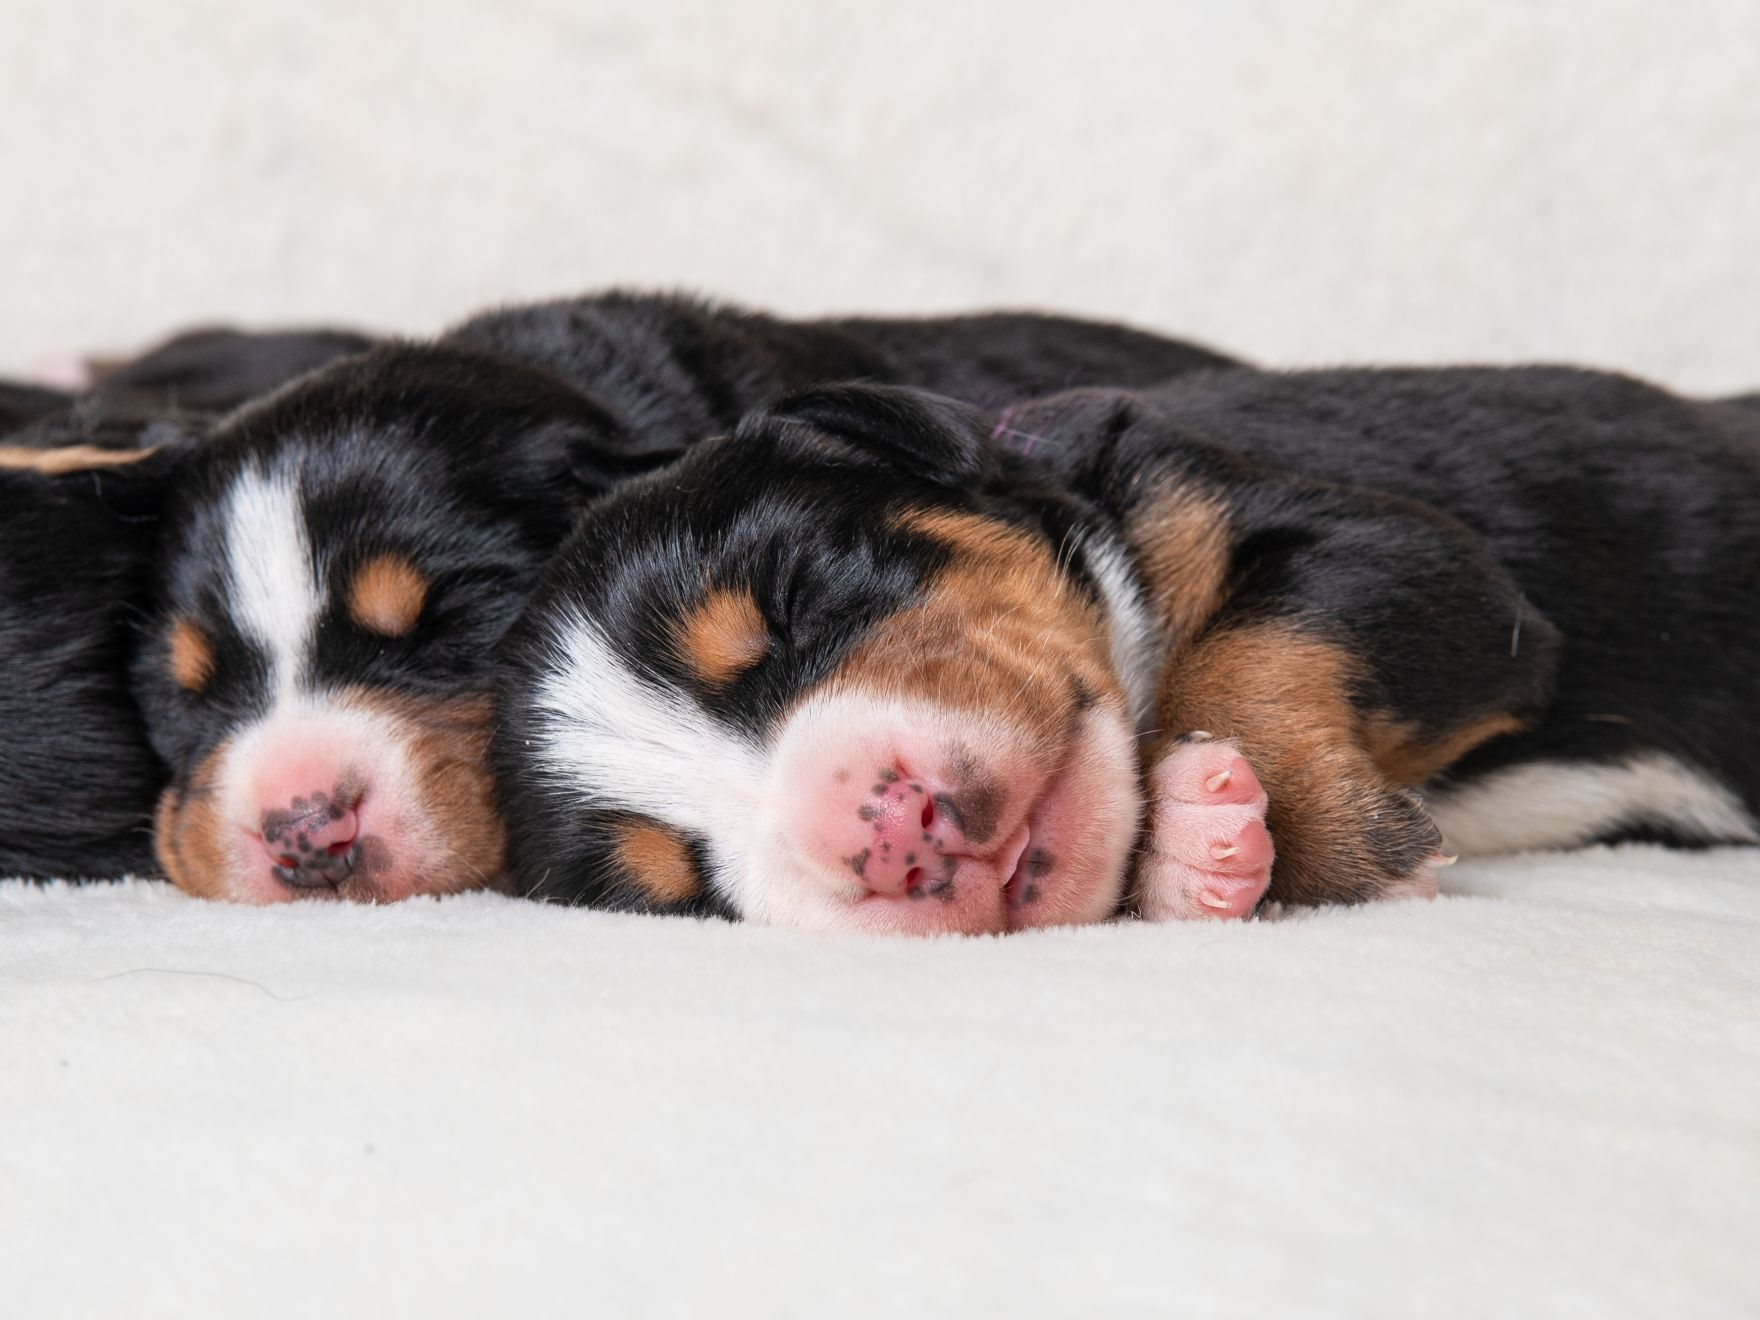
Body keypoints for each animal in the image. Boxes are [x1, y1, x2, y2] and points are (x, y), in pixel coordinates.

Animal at [492, 367, 1760, 936]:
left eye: (796, 597)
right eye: (682, 890)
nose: (894, 834)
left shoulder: (1414, 557)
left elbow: (1250, 639)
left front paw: (1322, 835)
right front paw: (1195, 840)